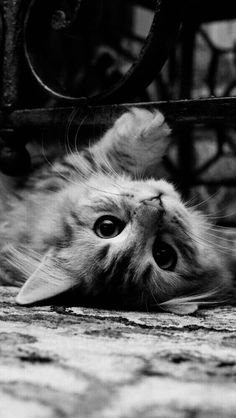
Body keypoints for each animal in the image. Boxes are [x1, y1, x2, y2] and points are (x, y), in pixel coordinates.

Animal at [0, 108, 234, 314]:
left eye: (163, 254)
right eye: (107, 228)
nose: (155, 204)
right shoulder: (47, 183)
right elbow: (92, 158)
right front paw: (144, 126)